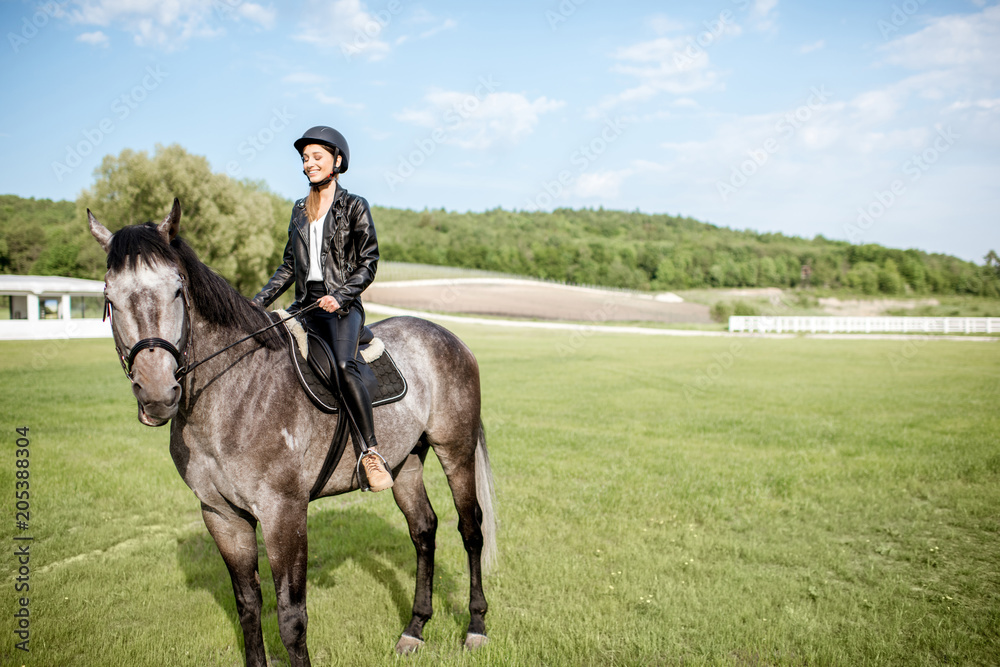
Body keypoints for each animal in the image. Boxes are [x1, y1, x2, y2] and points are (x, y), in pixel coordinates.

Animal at [87, 198, 496, 667]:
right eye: (109, 297)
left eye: (177, 289)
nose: (156, 392)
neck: (236, 392)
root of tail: (447, 336)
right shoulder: (221, 516)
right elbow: (248, 605)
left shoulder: (283, 513)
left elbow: (291, 618)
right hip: (405, 462)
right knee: (423, 530)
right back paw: (414, 628)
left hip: (456, 451)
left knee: (470, 530)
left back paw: (476, 626)